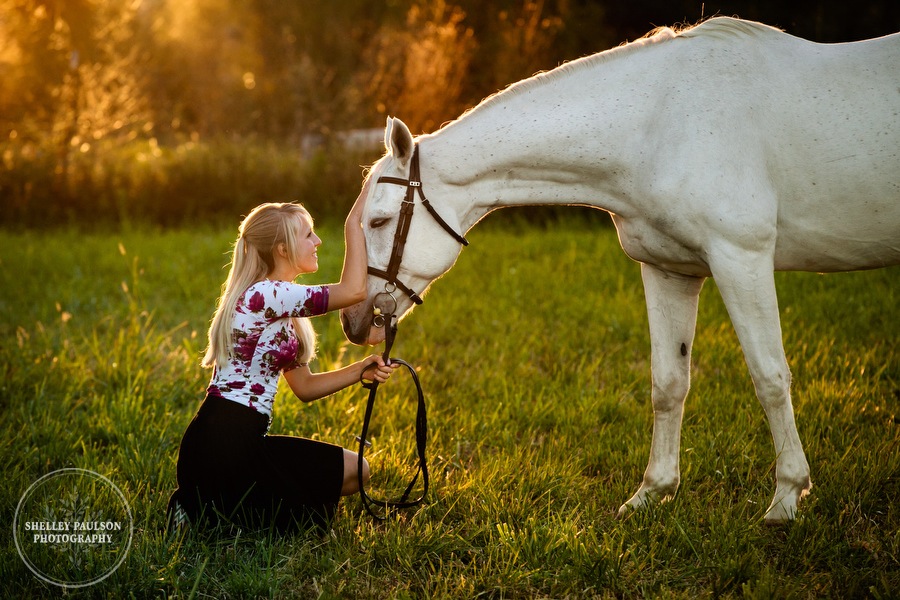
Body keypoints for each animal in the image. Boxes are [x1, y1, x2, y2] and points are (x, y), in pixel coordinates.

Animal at [340, 17, 900, 524]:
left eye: (380, 219)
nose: (354, 321)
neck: (659, 127)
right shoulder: (669, 269)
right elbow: (668, 382)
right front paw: (652, 494)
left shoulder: (742, 257)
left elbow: (769, 376)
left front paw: (785, 499)